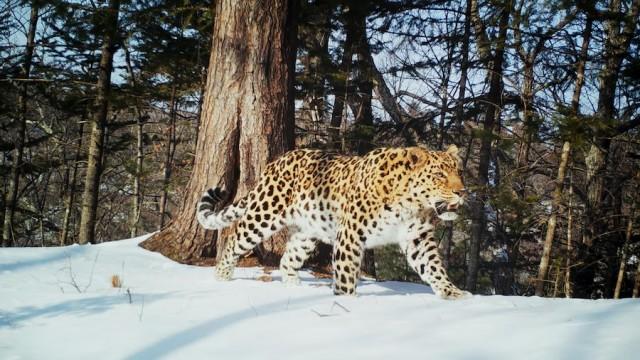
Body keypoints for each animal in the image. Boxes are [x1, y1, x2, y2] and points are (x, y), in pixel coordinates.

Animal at [198, 145, 472, 300]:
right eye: (439, 175)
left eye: (460, 172)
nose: (462, 192)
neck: (411, 204)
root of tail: (275, 162)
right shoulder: (352, 233)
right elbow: (346, 273)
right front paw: (348, 303)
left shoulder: (417, 238)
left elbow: (434, 268)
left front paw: (453, 293)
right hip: (264, 213)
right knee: (235, 237)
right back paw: (222, 276)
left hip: (307, 232)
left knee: (288, 258)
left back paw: (295, 287)